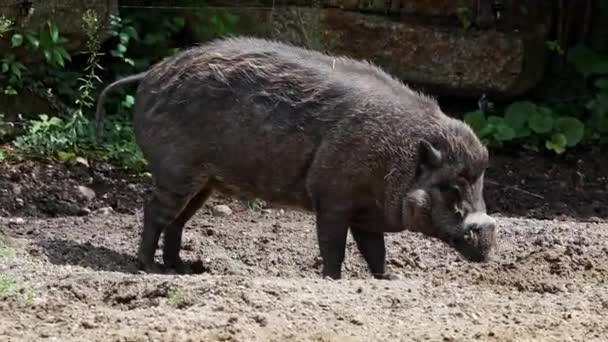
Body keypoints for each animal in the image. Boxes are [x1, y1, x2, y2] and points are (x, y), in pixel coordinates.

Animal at [94, 36, 494, 280]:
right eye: (451, 188)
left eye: (480, 182)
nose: (488, 237)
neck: (396, 160)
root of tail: (150, 73)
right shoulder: (332, 200)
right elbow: (333, 248)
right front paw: (333, 279)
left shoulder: (368, 215)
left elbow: (375, 252)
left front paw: (388, 278)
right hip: (174, 171)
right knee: (154, 210)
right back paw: (148, 268)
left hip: (204, 182)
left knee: (178, 220)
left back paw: (185, 269)